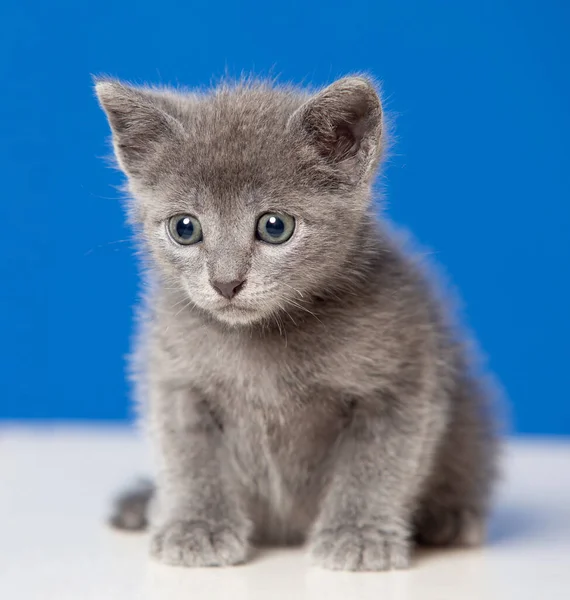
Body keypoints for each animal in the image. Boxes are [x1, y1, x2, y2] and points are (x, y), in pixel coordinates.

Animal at [95, 76, 494, 572]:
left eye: (275, 226)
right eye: (184, 228)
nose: (225, 282)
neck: (263, 336)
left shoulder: (403, 377)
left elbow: (378, 463)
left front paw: (358, 533)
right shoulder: (175, 377)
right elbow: (187, 455)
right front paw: (198, 525)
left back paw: (449, 518)